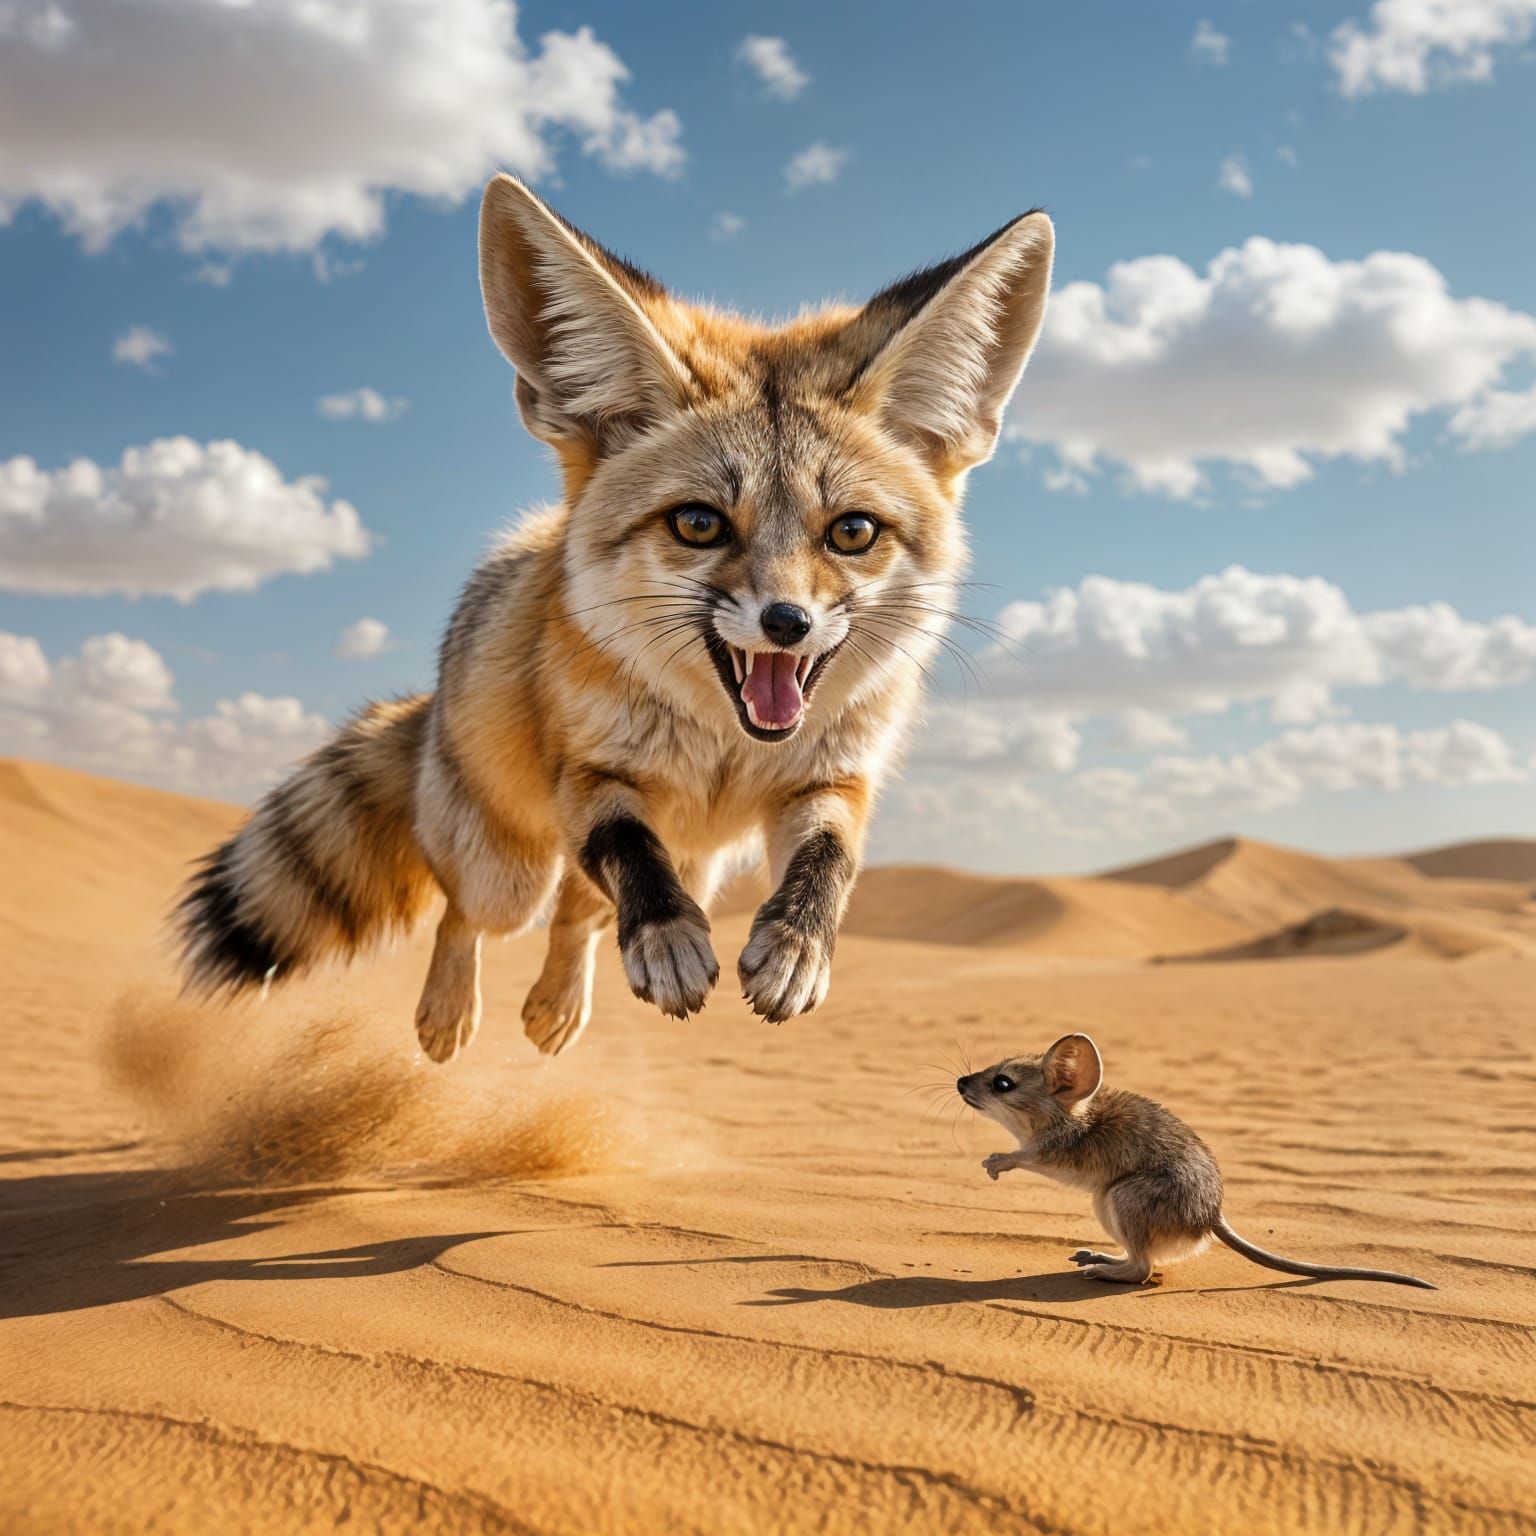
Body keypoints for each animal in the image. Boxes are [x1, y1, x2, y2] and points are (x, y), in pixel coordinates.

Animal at [176, 174, 1054, 1063]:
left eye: (852, 532)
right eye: (699, 524)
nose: (787, 623)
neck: (726, 755)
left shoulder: (832, 778)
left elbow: (826, 860)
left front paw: (797, 947)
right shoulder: (593, 773)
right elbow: (628, 853)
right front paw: (665, 936)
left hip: (690, 863)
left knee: (578, 913)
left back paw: (555, 1008)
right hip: (509, 873)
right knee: (472, 915)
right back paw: (449, 1014)